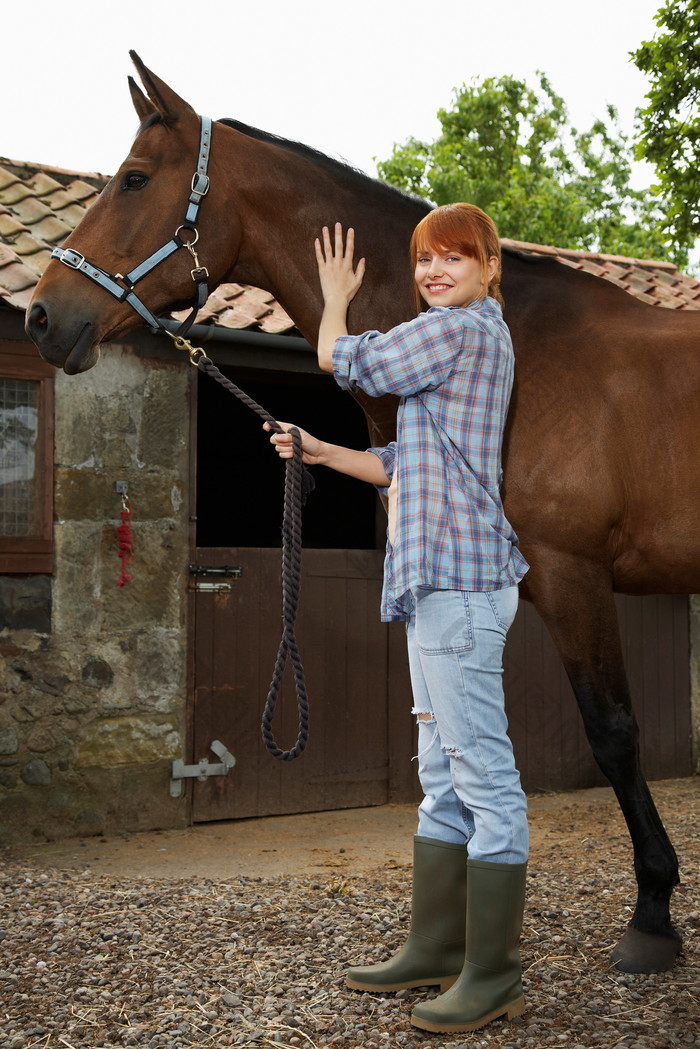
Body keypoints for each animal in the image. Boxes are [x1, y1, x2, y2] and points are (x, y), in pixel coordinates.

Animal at [24, 51, 696, 973]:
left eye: (132, 179)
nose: (42, 316)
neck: (524, 347)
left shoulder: (573, 575)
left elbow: (615, 733)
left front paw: (653, 914)